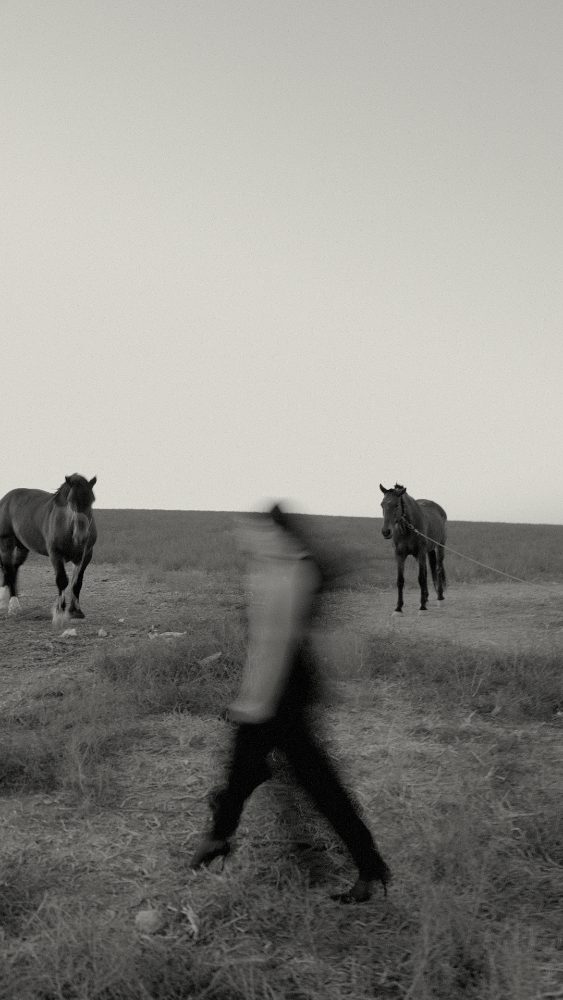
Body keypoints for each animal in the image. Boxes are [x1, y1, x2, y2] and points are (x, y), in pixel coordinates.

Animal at [0, 474, 97, 620]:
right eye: (70, 501)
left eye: (92, 500)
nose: (81, 536)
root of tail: (5, 498)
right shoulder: (55, 554)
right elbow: (62, 580)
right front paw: (60, 611)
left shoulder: (85, 556)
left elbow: (77, 582)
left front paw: (76, 611)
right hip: (7, 542)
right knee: (9, 569)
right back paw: (13, 605)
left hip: (22, 547)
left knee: (14, 568)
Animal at [379, 483, 447, 613]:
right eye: (382, 504)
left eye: (396, 505)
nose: (386, 532)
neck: (408, 529)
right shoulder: (400, 555)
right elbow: (400, 580)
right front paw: (398, 607)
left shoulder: (420, 553)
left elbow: (421, 578)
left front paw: (422, 606)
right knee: (427, 572)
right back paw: (426, 597)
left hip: (439, 547)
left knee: (438, 569)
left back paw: (440, 597)